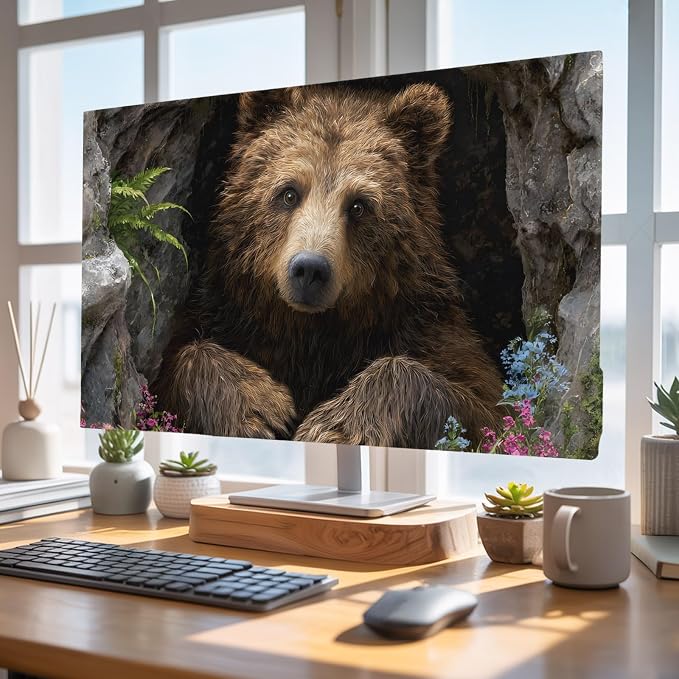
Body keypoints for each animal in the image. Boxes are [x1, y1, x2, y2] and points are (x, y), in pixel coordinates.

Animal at [156, 82, 504, 449]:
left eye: (359, 205)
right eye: (289, 193)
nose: (310, 269)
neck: (316, 332)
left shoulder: (424, 324)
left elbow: (481, 403)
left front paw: (334, 426)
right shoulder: (227, 313)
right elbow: (179, 357)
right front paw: (260, 409)